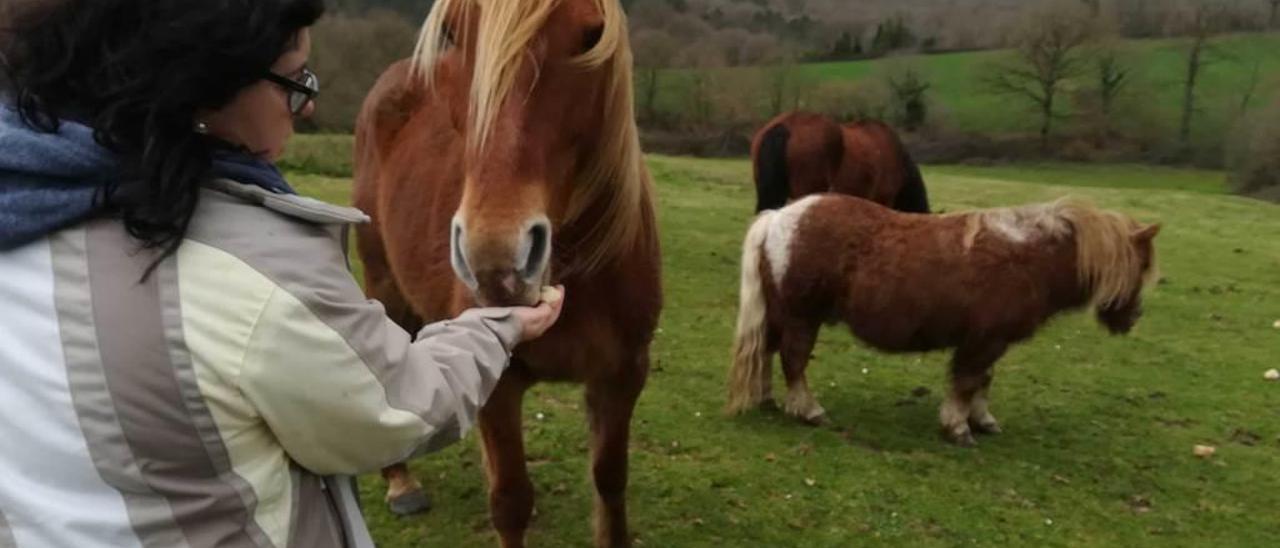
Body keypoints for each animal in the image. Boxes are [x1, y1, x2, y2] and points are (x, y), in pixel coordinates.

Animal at [355, 2, 665, 545]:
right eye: (451, 33)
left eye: (591, 36)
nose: (497, 256)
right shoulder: (499, 385)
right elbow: (511, 501)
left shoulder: (624, 374)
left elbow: (610, 480)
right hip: (383, 284)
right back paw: (400, 483)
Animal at [732, 194, 1162, 448]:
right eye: (1142, 265)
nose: (1134, 317)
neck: (1028, 256)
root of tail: (779, 217)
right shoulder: (983, 341)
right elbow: (968, 382)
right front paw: (958, 427)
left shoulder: (989, 342)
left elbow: (982, 382)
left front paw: (982, 420)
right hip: (802, 317)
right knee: (793, 360)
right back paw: (808, 410)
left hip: (781, 315)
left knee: (768, 353)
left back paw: (768, 399)